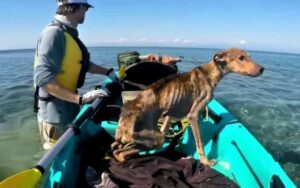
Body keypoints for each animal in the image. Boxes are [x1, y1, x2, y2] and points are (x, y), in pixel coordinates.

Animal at [111, 47, 264, 165]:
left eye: (248, 56)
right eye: (241, 58)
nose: (262, 69)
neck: (209, 73)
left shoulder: (171, 110)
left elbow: (166, 125)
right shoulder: (194, 115)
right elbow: (200, 143)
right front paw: (206, 162)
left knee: (118, 150)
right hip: (155, 138)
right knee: (120, 153)